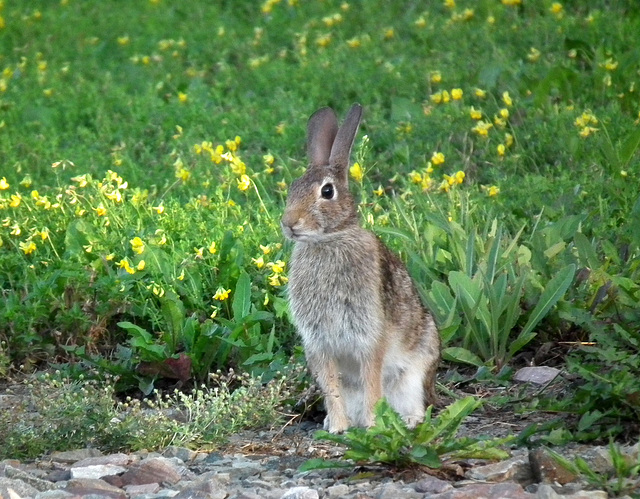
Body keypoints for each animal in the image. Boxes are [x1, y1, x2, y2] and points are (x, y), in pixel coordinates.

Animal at [282, 102, 440, 434]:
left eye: (327, 192)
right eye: (292, 188)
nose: (289, 223)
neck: (329, 239)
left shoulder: (369, 336)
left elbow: (372, 381)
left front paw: (372, 424)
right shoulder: (318, 343)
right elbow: (331, 386)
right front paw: (338, 427)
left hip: (416, 369)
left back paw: (407, 419)